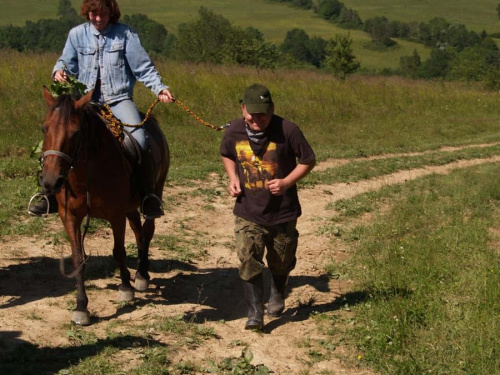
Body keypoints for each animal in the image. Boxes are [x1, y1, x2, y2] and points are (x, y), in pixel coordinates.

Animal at [38, 89, 170, 326]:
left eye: (76, 133)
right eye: (45, 128)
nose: (50, 182)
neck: (88, 175)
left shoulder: (116, 215)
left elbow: (119, 251)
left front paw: (125, 288)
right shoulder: (69, 216)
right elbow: (78, 259)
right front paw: (81, 307)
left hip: (155, 191)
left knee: (147, 232)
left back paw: (142, 275)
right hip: (130, 208)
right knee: (138, 233)